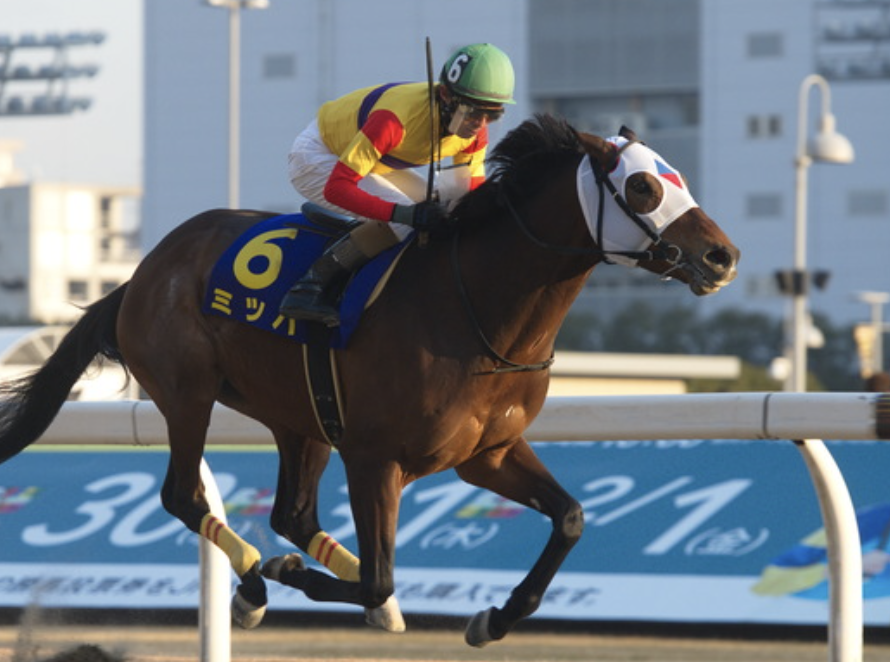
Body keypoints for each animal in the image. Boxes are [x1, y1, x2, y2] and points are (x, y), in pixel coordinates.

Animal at [0, 114, 739, 647]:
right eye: (644, 188)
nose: (722, 256)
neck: (480, 311)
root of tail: (142, 273)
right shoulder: (375, 457)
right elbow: (381, 577)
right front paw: (292, 576)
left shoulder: (487, 453)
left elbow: (571, 518)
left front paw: (493, 617)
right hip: (188, 393)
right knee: (186, 495)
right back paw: (257, 582)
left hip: (298, 415)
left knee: (292, 513)